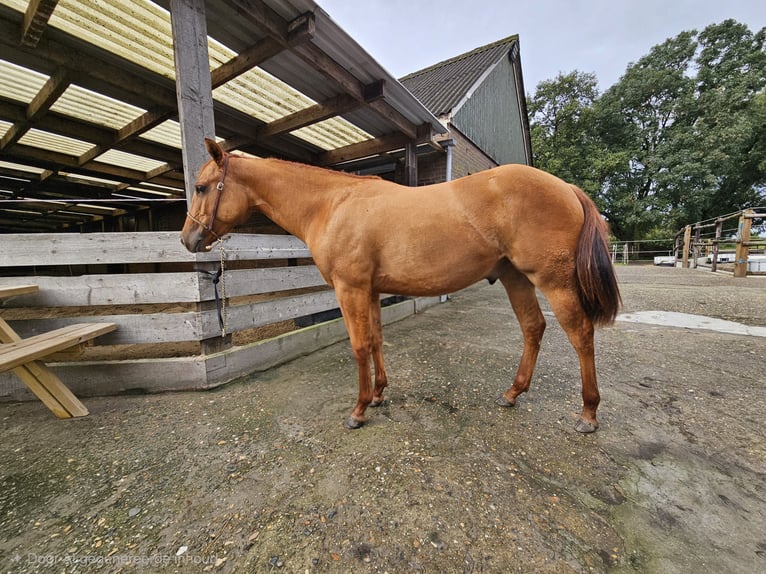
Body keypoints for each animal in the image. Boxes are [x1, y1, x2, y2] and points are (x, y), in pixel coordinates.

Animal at [181, 138, 621, 433]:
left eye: (201, 187)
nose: (187, 240)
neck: (332, 204)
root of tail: (567, 188)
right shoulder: (372, 291)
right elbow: (376, 339)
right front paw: (378, 394)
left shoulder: (351, 289)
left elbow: (359, 346)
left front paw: (359, 410)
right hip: (515, 278)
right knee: (533, 328)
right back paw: (512, 393)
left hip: (553, 282)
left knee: (580, 334)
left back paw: (588, 413)